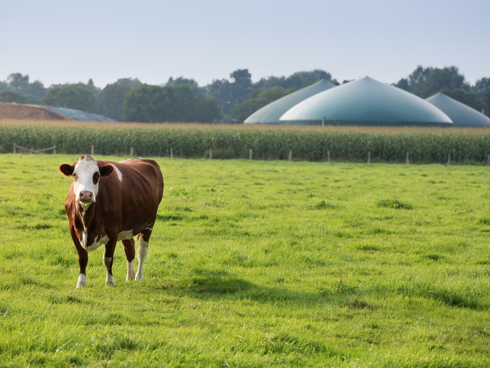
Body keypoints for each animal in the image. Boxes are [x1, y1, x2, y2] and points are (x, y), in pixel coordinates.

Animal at [59, 155, 163, 288]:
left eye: (96, 175)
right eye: (75, 174)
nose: (85, 194)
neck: (87, 220)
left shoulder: (112, 231)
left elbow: (107, 258)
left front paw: (110, 282)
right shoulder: (74, 230)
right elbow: (82, 258)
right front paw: (81, 283)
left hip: (149, 223)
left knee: (142, 251)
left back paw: (138, 276)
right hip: (127, 227)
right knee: (130, 249)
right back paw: (129, 276)